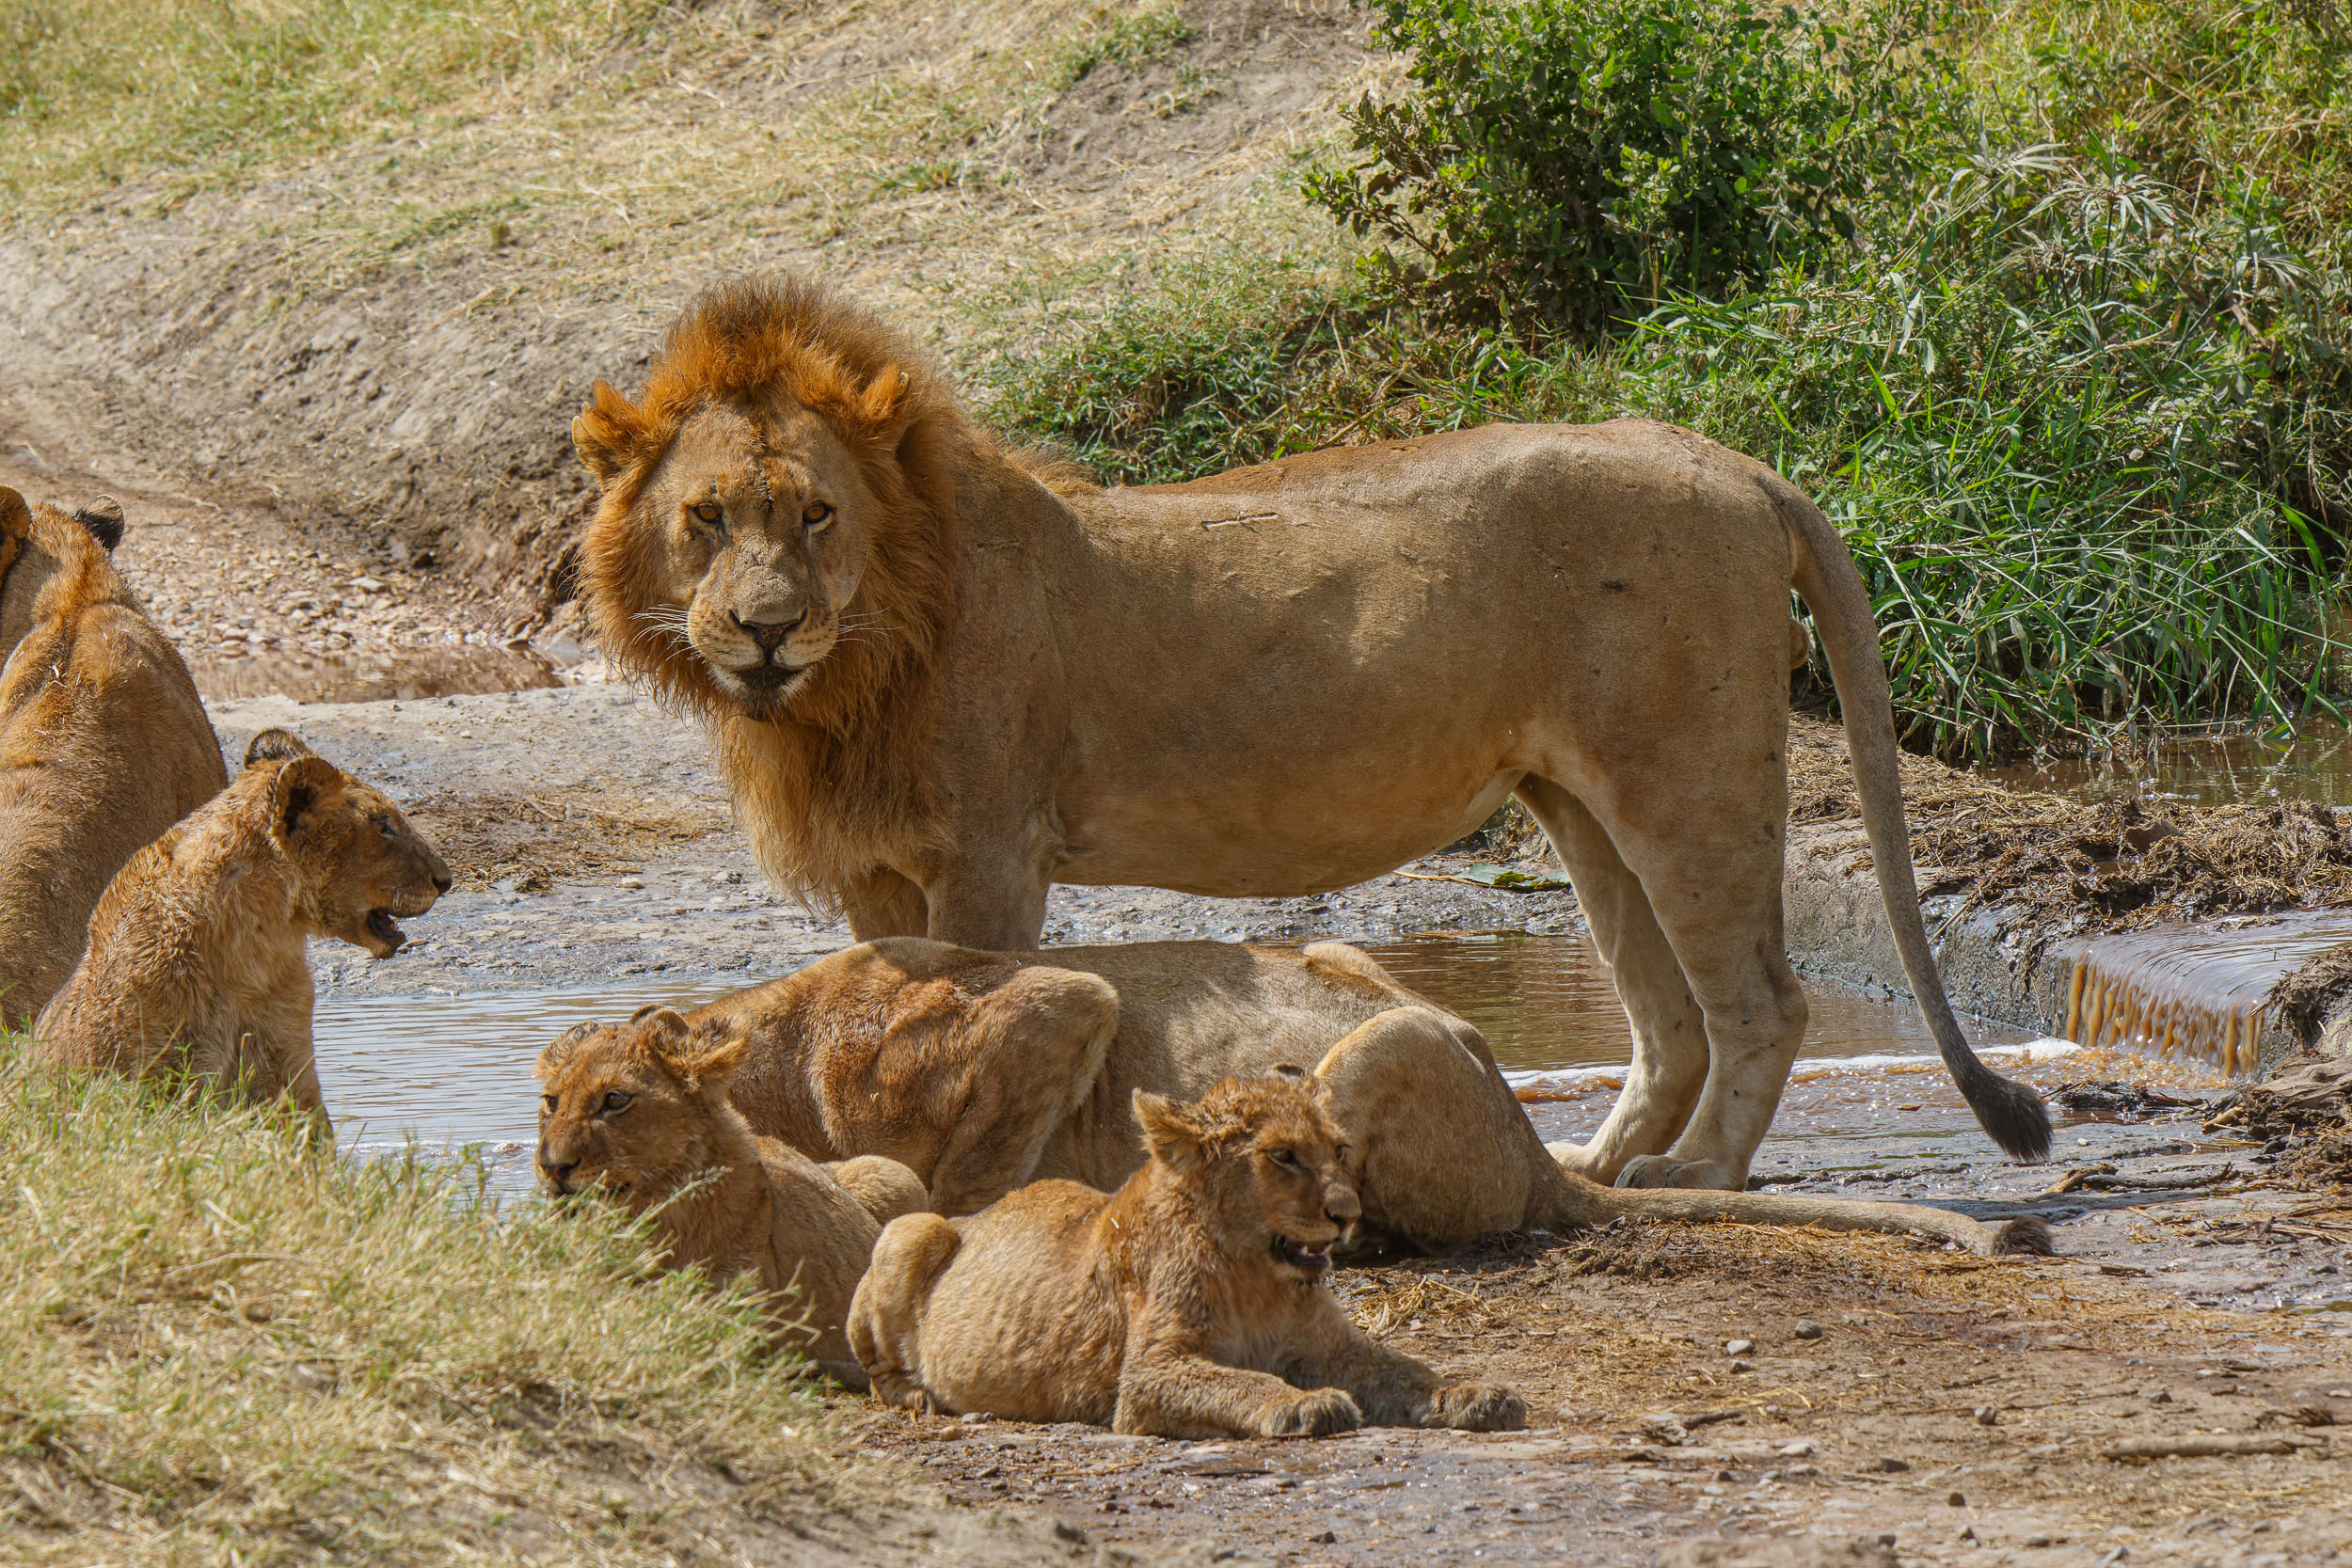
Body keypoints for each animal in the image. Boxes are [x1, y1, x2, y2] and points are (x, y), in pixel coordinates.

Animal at [572, 275, 2049, 1191]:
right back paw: (1596, 1161)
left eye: (815, 514)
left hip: (1685, 778)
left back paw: (1696, 1173)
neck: (846, 675)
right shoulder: (879, 872)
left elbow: (975, 995)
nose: (763, 629)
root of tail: (1733, 462)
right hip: (1580, 801)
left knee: (1759, 1000)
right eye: (706, 517)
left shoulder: (990, 855)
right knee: (1670, 1016)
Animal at [849, 1071, 1528, 1436]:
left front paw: (1476, 1392)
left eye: (1338, 1148)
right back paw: (920, 1395)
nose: (1348, 1213)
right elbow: (1243, 1378)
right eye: (1283, 1155)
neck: (1259, 1276)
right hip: (910, 1228)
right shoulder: (1148, 1376)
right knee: (876, 1372)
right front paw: (1302, 1402)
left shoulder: (1335, 1348)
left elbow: (1409, 1368)